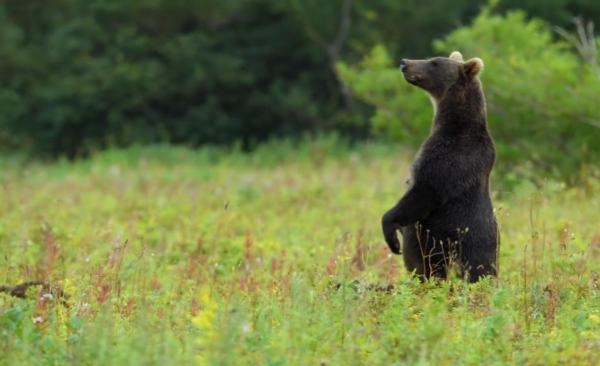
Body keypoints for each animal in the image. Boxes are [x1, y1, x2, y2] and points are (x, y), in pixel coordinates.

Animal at [382, 50, 500, 282]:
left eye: (434, 62)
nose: (404, 62)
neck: (453, 123)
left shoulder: (452, 158)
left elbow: (425, 191)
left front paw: (391, 234)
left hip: (469, 246)